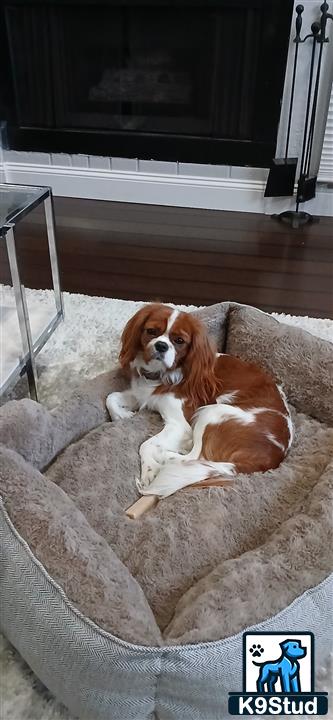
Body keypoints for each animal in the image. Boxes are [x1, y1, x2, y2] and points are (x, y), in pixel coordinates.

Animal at [105, 300, 292, 498]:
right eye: (151, 331)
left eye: (179, 341)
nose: (161, 346)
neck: (161, 374)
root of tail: (271, 459)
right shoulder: (141, 394)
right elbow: (111, 397)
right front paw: (121, 415)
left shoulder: (180, 424)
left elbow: (146, 445)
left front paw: (149, 470)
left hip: (213, 413)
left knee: (195, 457)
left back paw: (168, 455)